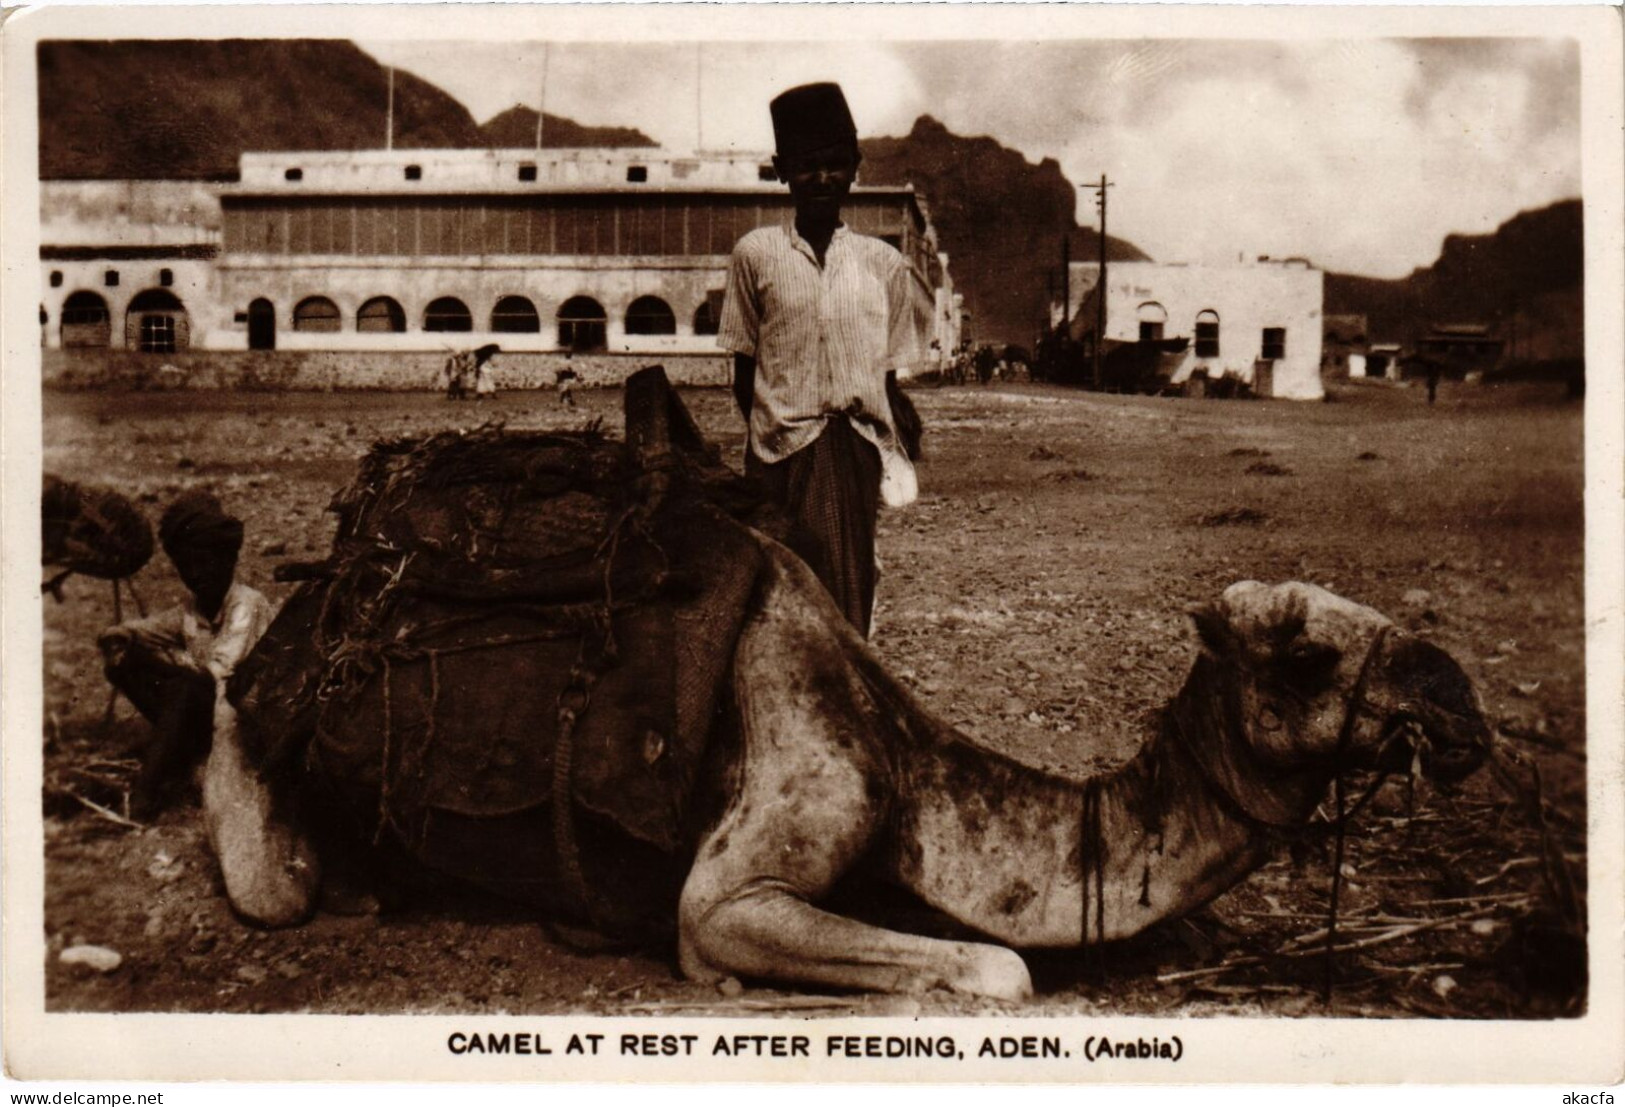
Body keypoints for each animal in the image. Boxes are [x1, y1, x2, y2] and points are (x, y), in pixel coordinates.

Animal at [196, 375, 1488, 994]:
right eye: (1304, 656)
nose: (1459, 706)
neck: (907, 771)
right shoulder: (745, 875)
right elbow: (1002, 968)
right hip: (278, 743)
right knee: (266, 854)